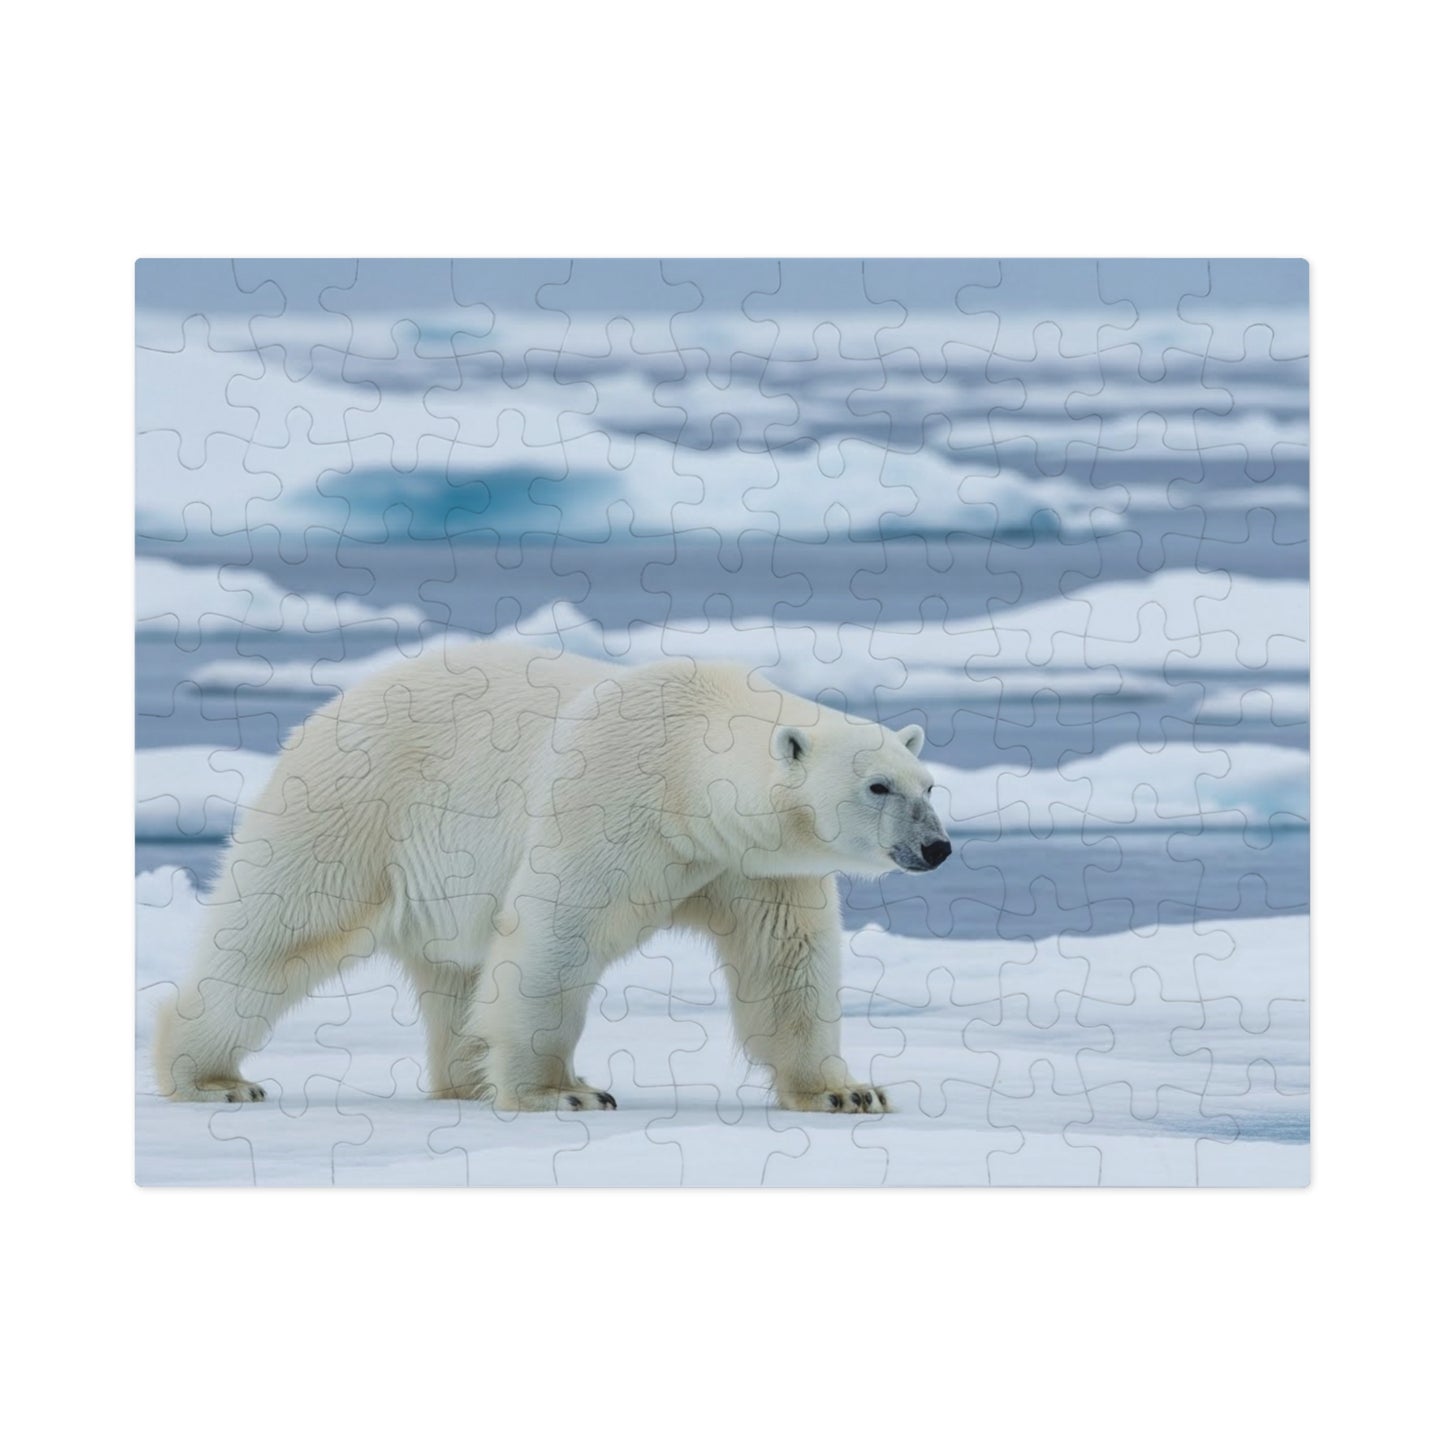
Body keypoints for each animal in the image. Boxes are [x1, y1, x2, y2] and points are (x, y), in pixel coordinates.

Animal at [153, 642, 951, 1113]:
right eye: (878, 786)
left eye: (928, 783)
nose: (937, 847)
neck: (688, 769)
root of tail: (327, 708)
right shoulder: (610, 801)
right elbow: (554, 938)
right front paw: (561, 1090)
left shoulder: (752, 862)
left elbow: (786, 963)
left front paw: (846, 1091)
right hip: (352, 810)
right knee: (275, 934)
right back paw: (211, 1077)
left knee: (454, 973)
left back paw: (466, 1079)